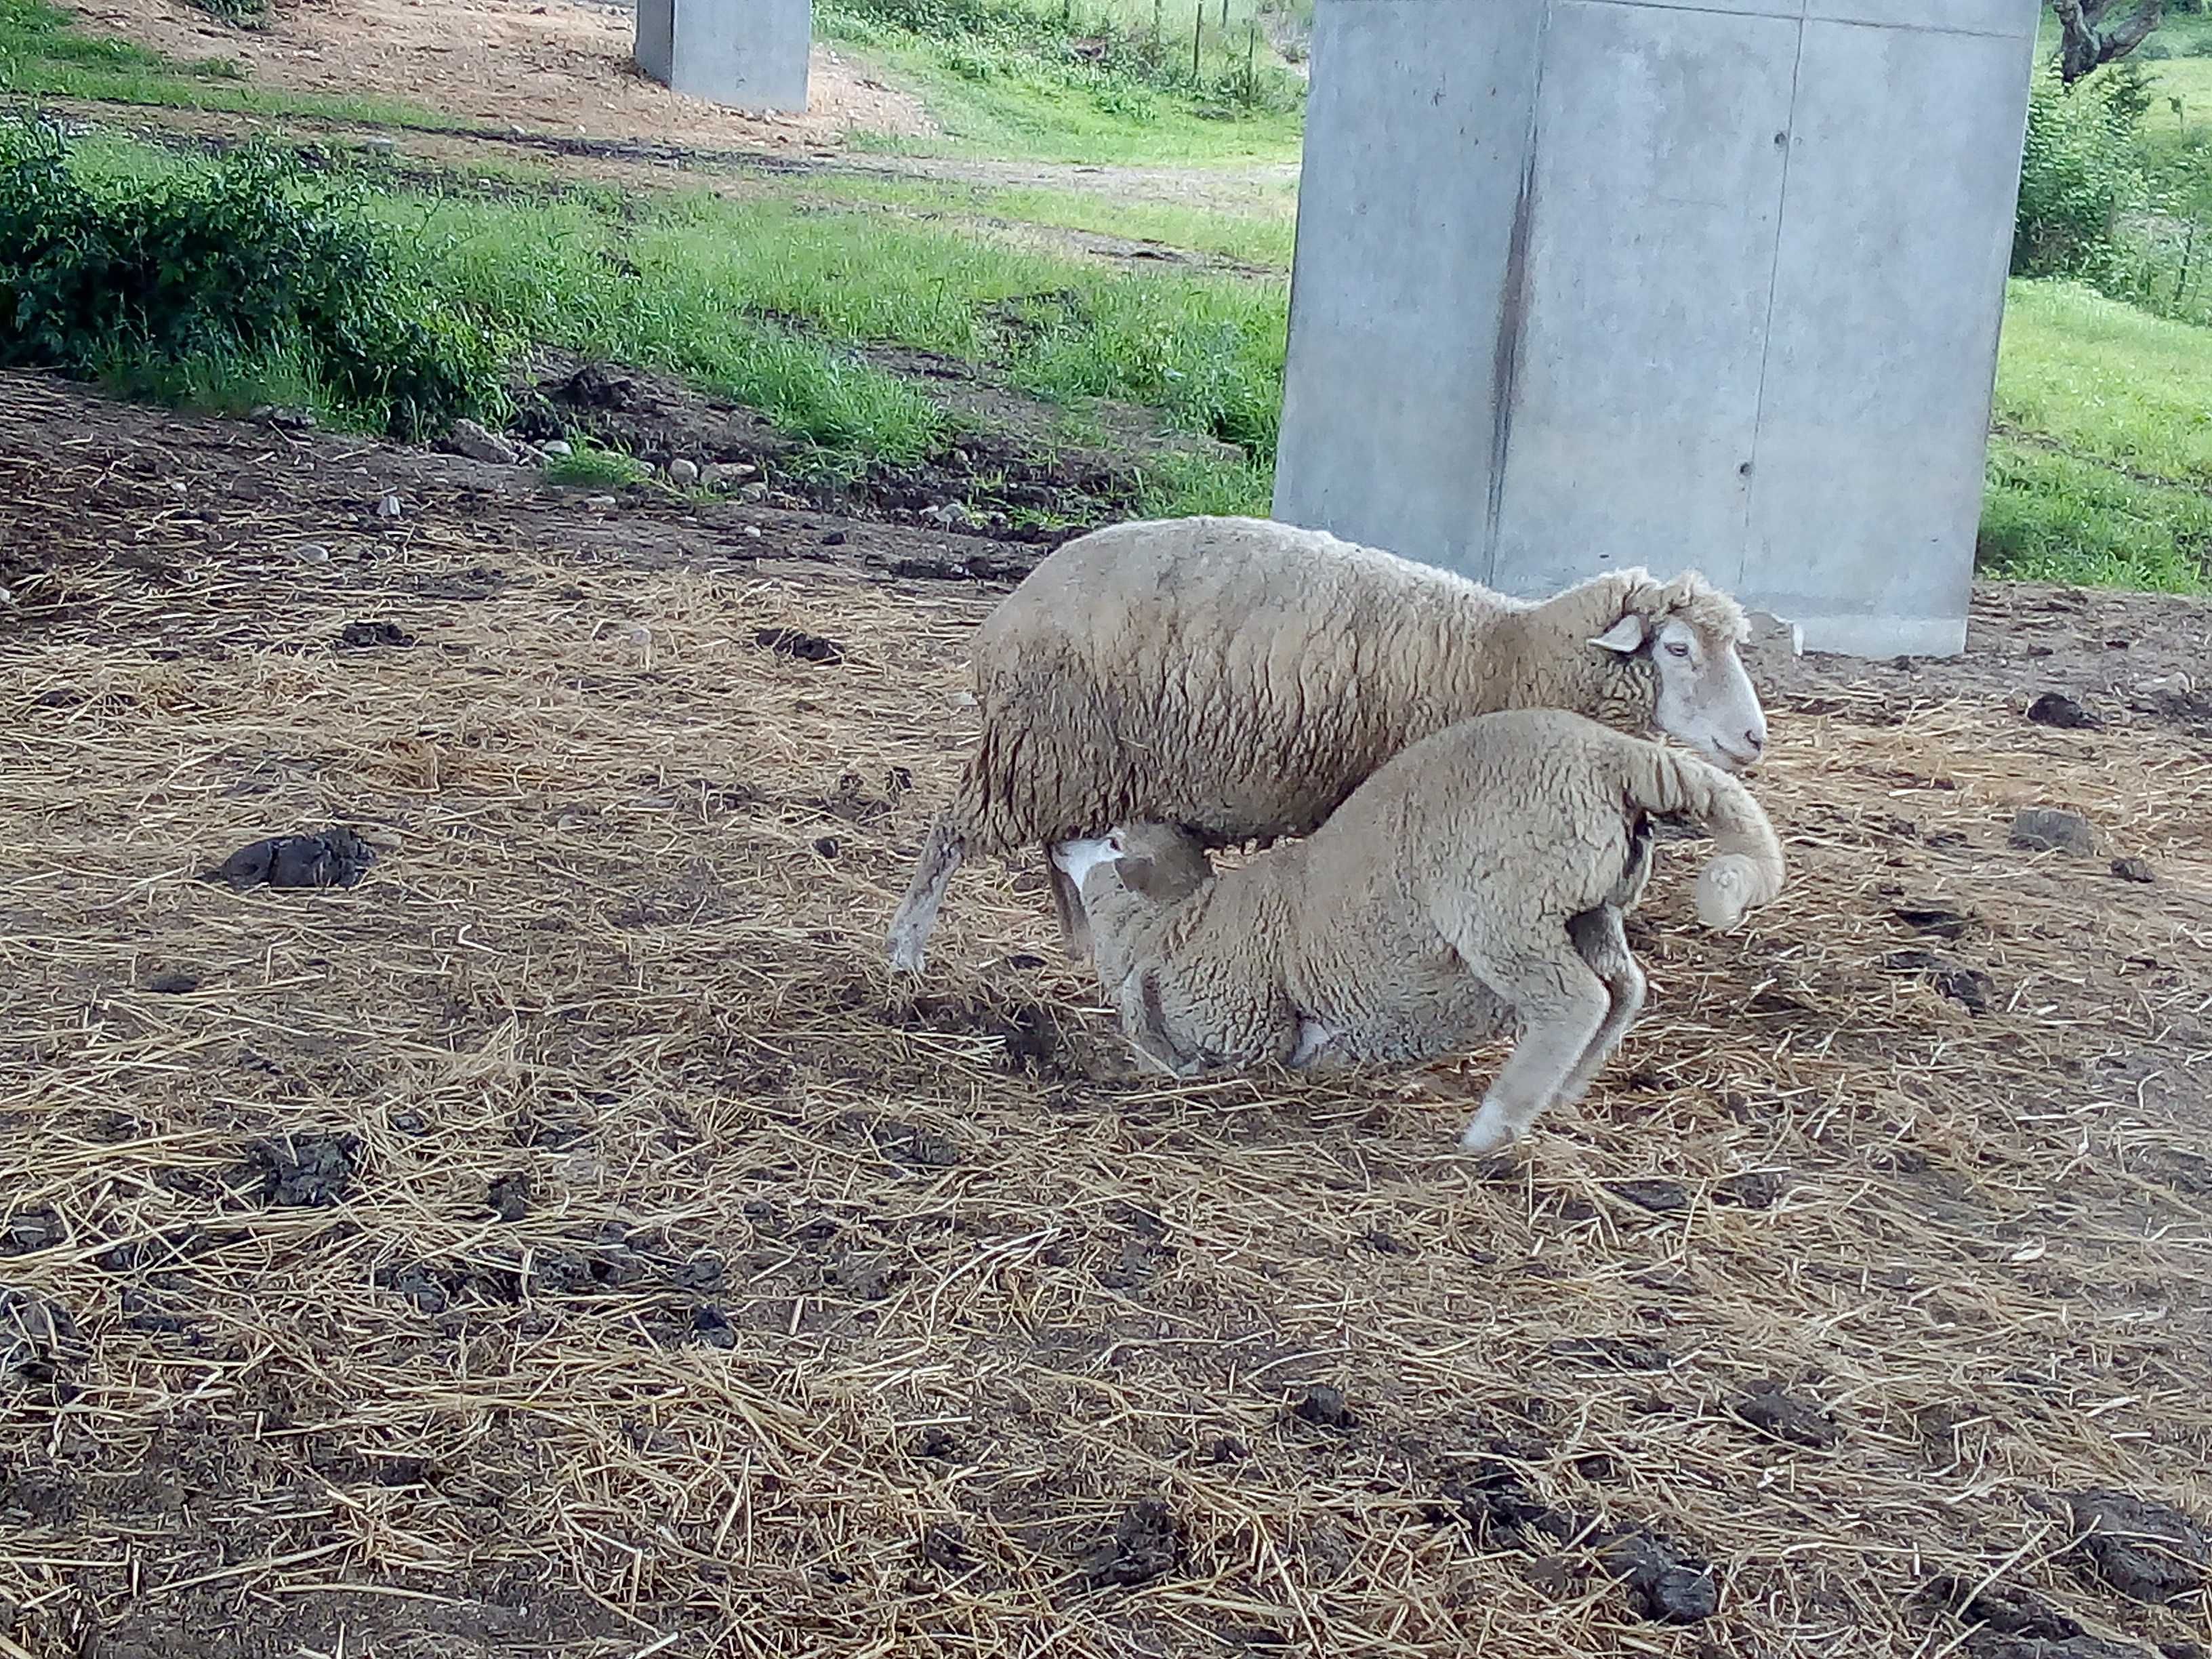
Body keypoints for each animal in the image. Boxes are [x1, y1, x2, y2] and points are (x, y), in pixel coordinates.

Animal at [880, 517, 1761, 973]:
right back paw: (905, 952)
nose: (1754, 738)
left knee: (1056, 848)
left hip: (1078, 762)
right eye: (1678, 649)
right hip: (1045, 748)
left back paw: (1080, 946)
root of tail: (1005, 615)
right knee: (952, 834)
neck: (1504, 654)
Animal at [1044, 708, 1787, 1159]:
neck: (1179, 922)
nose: (1060, 842)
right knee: (1625, 989)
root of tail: (1614, 755)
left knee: (1576, 1002)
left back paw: (1493, 1128)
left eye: (1112, 840)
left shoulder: (1247, 1029)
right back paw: (1566, 1091)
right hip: (1586, 906)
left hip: (1503, 908)